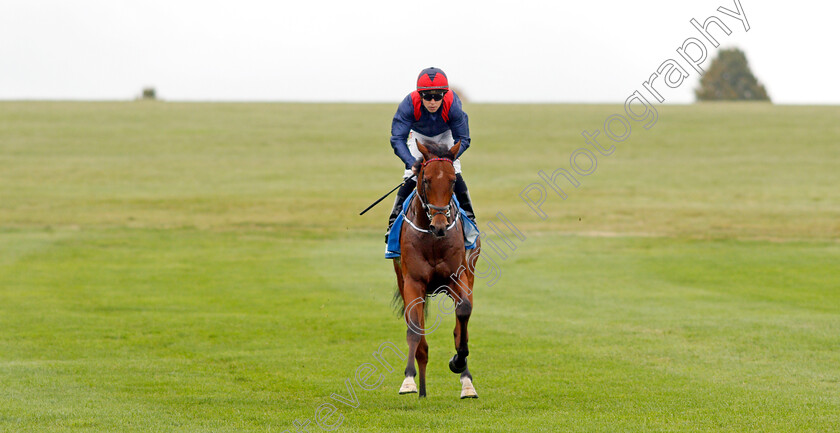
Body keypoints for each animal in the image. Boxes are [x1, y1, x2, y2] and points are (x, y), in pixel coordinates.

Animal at [392, 138, 480, 398]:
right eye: (426, 179)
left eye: (452, 181)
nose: (439, 225)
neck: (433, 240)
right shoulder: (413, 283)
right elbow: (414, 329)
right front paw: (409, 379)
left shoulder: (457, 277)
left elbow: (463, 314)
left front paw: (458, 362)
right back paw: (419, 386)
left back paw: (467, 383)